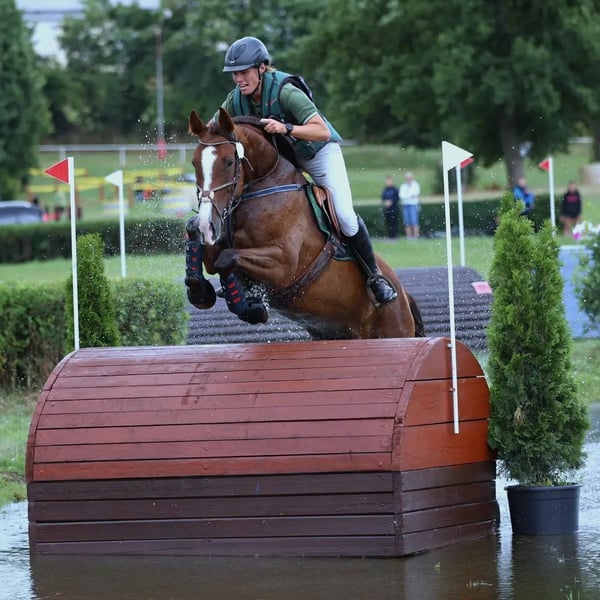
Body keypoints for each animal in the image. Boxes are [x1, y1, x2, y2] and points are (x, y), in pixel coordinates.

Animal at [185, 107, 424, 340]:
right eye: (194, 163)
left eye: (229, 162)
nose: (207, 224)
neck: (263, 186)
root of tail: (405, 297)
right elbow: (202, 245)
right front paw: (201, 292)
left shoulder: (283, 264)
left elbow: (227, 258)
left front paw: (252, 307)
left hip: (393, 330)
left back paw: (382, 288)